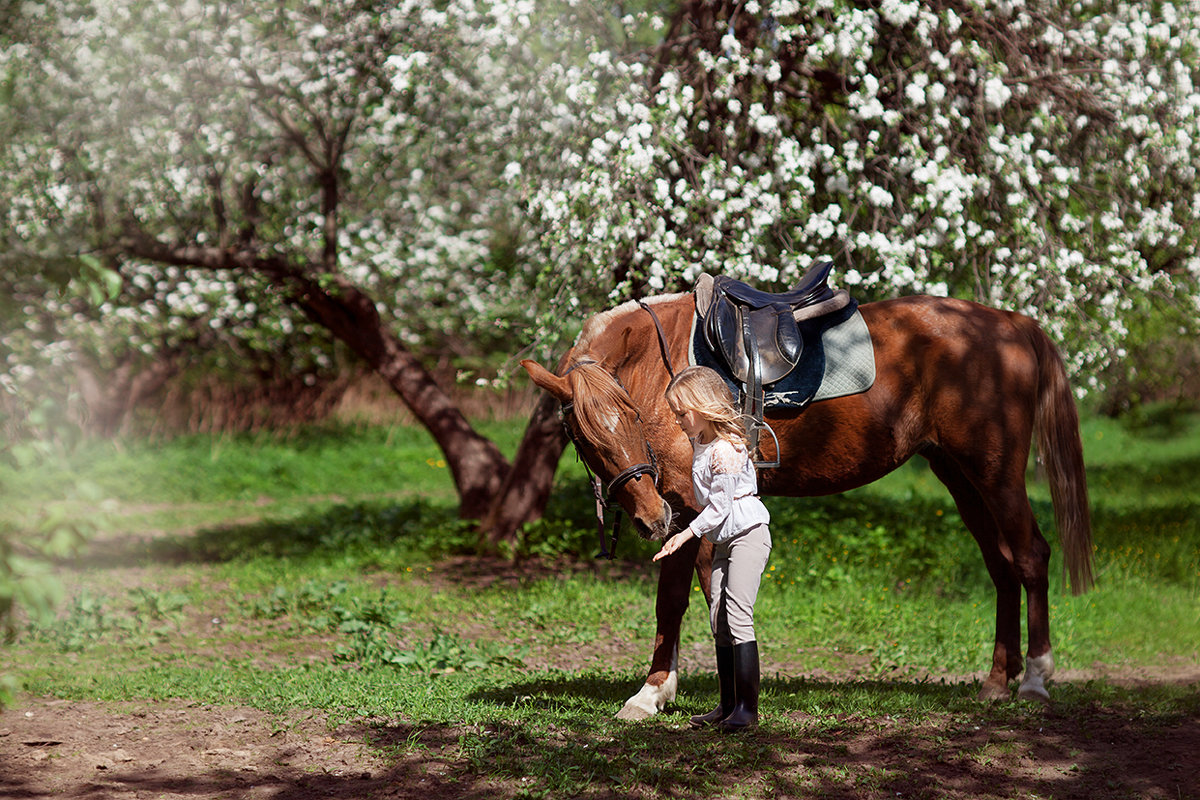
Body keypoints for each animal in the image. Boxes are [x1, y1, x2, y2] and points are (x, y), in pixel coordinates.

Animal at [520, 289, 1094, 719]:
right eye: (584, 436)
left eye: (631, 418)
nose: (649, 517)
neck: (661, 370)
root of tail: (1012, 322)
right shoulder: (687, 513)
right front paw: (665, 690)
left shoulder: (687, 508)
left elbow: (677, 602)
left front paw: (651, 692)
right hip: (960, 477)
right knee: (1001, 566)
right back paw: (997, 680)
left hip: (996, 476)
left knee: (1030, 556)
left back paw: (1035, 678)